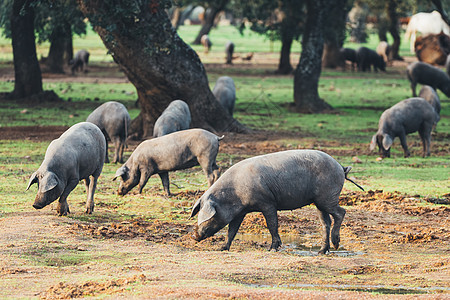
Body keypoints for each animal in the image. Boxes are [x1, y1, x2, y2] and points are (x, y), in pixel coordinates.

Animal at [190, 150, 362, 253]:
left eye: (205, 216)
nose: (193, 235)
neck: (234, 194)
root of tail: (341, 167)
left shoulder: (267, 203)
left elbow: (272, 224)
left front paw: (272, 248)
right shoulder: (240, 212)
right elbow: (232, 230)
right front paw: (222, 248)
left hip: (327, 196)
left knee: (341, 212)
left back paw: (336, 244)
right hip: (319, 202)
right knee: (325, 222)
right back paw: (321, 251)